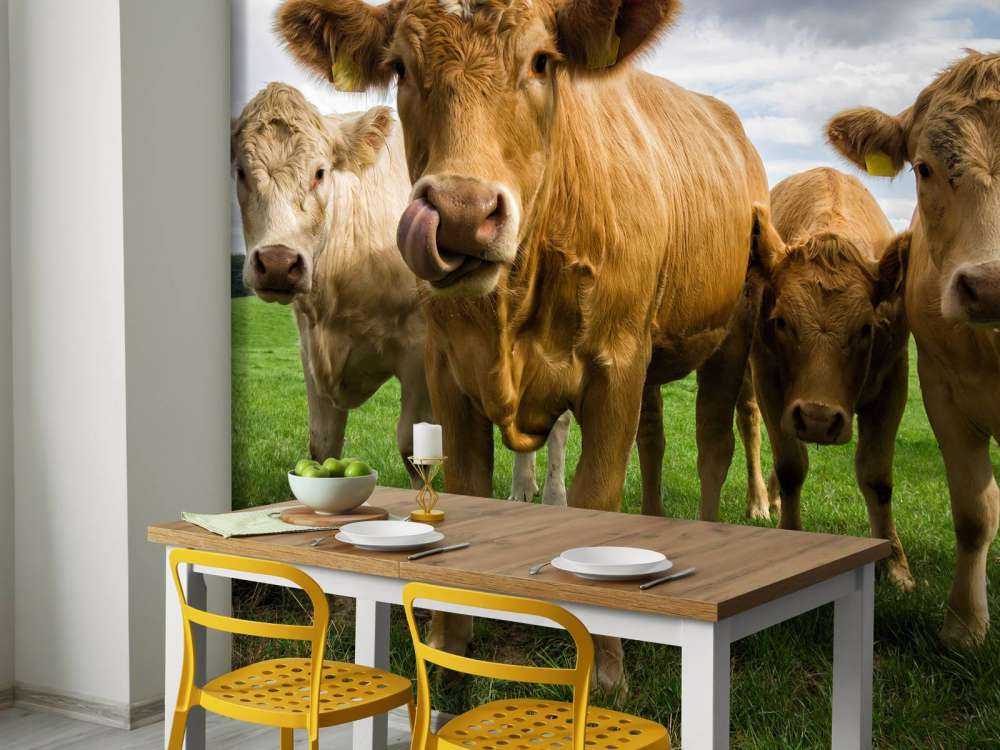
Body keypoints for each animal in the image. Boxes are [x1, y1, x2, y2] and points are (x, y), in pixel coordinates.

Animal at [233, 82, 570, 500]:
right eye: (240, 171)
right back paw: (523, 488)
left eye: (319, 172)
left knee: (557, 422)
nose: (278, 262)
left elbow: (411, 445)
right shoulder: (310, 351)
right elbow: (322, 444)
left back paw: (554, 496)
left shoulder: (418, 352)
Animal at [276, 0, 768, 688]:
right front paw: (449, 638)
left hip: (730, 334)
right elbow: (467, 487)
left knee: (715, 444)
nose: (461, 213)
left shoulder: (616, 365)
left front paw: (608, 663)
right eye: (400, 66)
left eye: (541, 60)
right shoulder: (447, 371)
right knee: (655, 441)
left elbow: (595, 498)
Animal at [749, 168, 914, 591]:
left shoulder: (894, 381)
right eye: (781, 321)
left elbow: (877, 476)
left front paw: (895, 563)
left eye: (866, 328)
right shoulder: (768, 377)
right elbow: (791, 464)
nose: (818, 419)